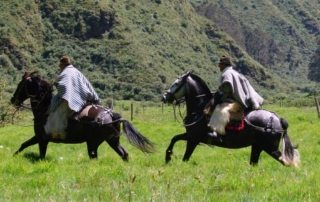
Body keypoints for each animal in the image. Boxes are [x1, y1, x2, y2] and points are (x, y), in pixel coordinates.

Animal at [10, 72, 155, 160]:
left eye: (21, 85)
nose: (13, 100)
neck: (45, 109)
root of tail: (112, 115)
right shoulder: (39, 138)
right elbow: (24, 145)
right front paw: (14, 155)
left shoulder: (42, 139)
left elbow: (40, 155)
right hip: (112, 141)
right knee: (124, 154)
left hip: (93, 143)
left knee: (95, 157)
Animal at [162, 72, 300, 166]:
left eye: (176, 83)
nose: (164, 97)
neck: (200, 108)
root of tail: (276, 119)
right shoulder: (190, 136)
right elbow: (174, 138)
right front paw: (168, 157)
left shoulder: (193, 139)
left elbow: (184, 156)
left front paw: (169, 158)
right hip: (258, 147)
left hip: (270, 148)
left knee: (286, 162)